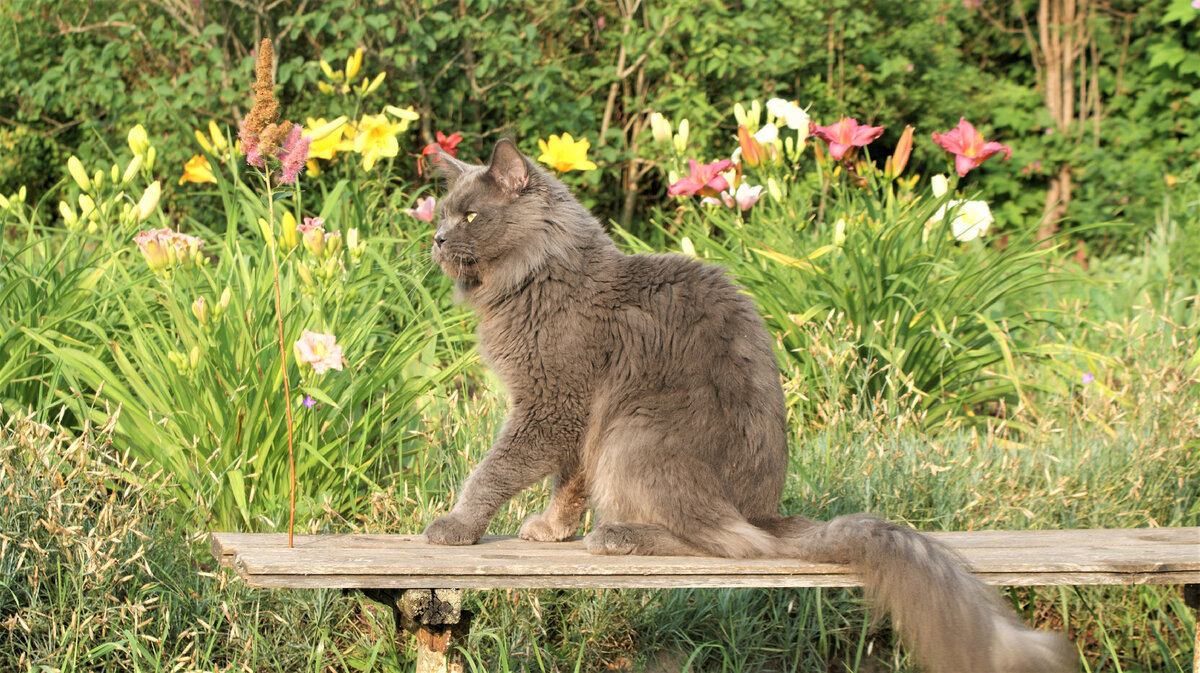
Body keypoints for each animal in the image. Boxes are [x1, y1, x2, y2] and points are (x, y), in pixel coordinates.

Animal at [424, 137, 1080, 671]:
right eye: (444, 211)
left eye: (471, 215)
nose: (435, 237)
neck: (534, 277)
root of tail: (767, 510)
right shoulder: (577, 415)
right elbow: (567, 482)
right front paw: (551, 530)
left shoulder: (551, 403)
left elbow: (494, 470)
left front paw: (455, 526)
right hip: (621, 431)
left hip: (635, 432)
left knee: (727, 541)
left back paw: (619, 536)